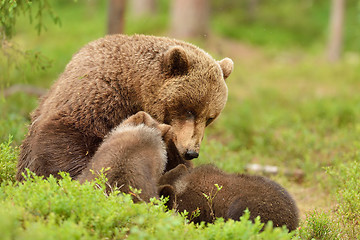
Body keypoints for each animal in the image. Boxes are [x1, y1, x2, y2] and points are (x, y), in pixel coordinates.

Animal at [16, 33, 233, 180]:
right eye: (189, 110)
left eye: (210, 117)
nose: (191, 152)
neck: (134, 88)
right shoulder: (99, 96)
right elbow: (67, 137)